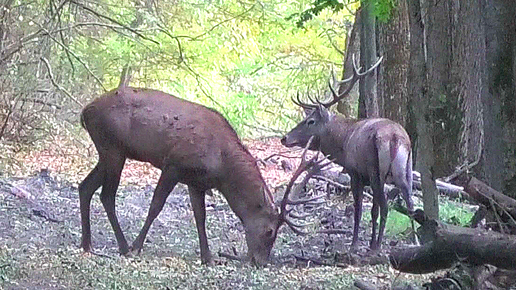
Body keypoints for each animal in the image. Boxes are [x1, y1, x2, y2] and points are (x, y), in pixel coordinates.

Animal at [78, 81, 310, 266]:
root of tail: (85, 112)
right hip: (112, 148)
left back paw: (87, 244)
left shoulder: (196, 181)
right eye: (270, 231)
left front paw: (208, 257)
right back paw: (124, 246)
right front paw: (137, 246)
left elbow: (200, 217)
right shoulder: (173, 165)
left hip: (110, 152)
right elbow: (155, 206)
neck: (222, 166)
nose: (260, 262)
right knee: (106, 195)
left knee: (85, 187)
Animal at [280, 56, 414, 249]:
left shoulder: (355, 172)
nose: (285, 138)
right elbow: (373, 210)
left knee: (385, 205)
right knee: (410, 203)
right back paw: (416, 240)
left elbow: (359, 210)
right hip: (406, 169)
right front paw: (369, 241)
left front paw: (355, 243)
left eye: (310, 121)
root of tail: (395, 137)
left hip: (376, 171)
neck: (342, 145)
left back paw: (377, 247)